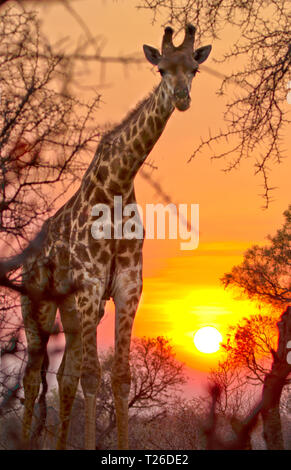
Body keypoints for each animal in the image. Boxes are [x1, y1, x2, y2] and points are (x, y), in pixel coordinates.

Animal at [20, 23, 212, 450]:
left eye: (194, 69)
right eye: (161, 69)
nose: (182, 98)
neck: (118, 184)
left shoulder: (127, 285)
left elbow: (120, 377)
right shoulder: (91, 285)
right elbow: (93, 377)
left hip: (73, 310)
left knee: (64, 375)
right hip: (38, 304)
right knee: (32, 375)